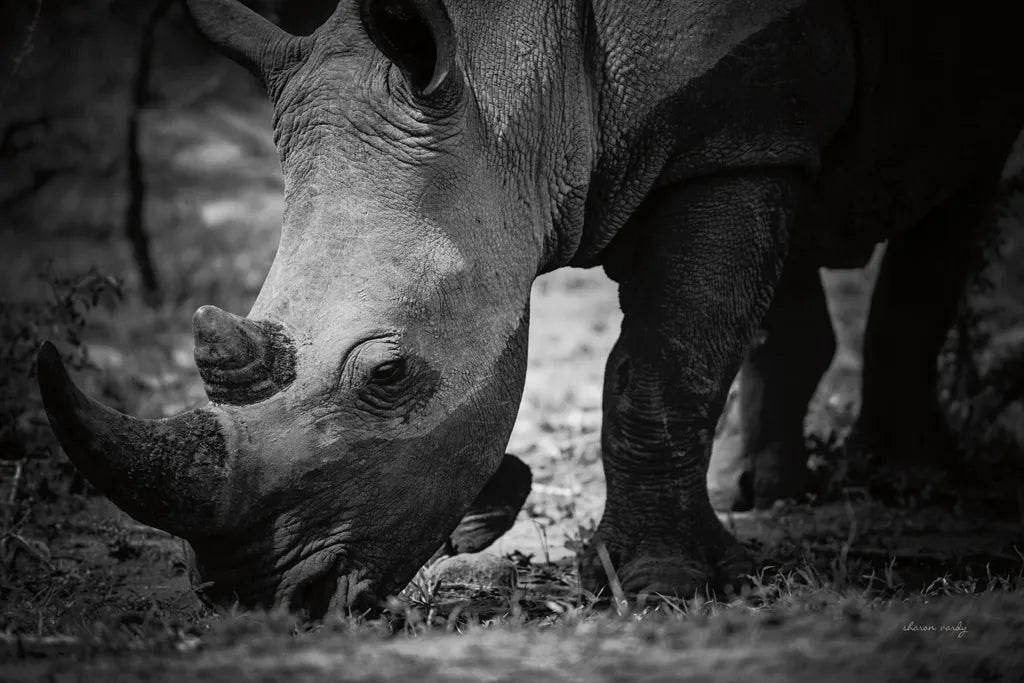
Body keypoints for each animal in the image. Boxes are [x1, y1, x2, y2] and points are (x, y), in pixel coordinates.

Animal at [37, 0, 1024, 614]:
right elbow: (693, 336)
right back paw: (768, 491)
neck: (513, 83)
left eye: (389, 374)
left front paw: (662, 587)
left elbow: (663, 366)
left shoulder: (734, 140)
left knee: (957, 187)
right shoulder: (700, 133)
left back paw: (910, 484)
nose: (260, 600)